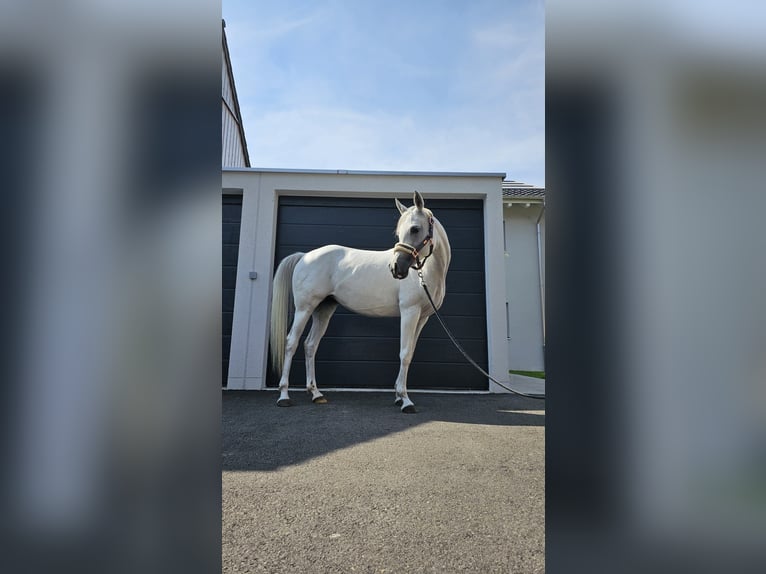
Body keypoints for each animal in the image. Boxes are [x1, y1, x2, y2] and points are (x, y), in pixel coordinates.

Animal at [269, 191, 451, 413]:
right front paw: (405, 400)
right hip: (305, 308)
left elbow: (410, 353)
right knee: (291, 343)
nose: (396, 268)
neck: (424, 273)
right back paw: (284, 395)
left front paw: (399, 396)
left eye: (415, 228)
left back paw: (316, 393)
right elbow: (405, 353)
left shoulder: (422, 317)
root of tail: (305, 256)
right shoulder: (409, 312)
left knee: (310, 345)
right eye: (399, 232)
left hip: (323, 309)